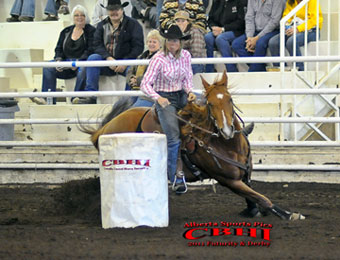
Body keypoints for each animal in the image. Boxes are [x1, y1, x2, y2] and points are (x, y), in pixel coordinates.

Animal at [80, 72, 306, 220]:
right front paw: (288, 214)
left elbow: (253, 197)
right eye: (210, 103)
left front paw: (253, 211)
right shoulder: (228, 180)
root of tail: (105, 128)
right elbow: (262, 198)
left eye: (230, 99)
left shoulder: (243, 176)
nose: (226, 130)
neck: (226, 145)